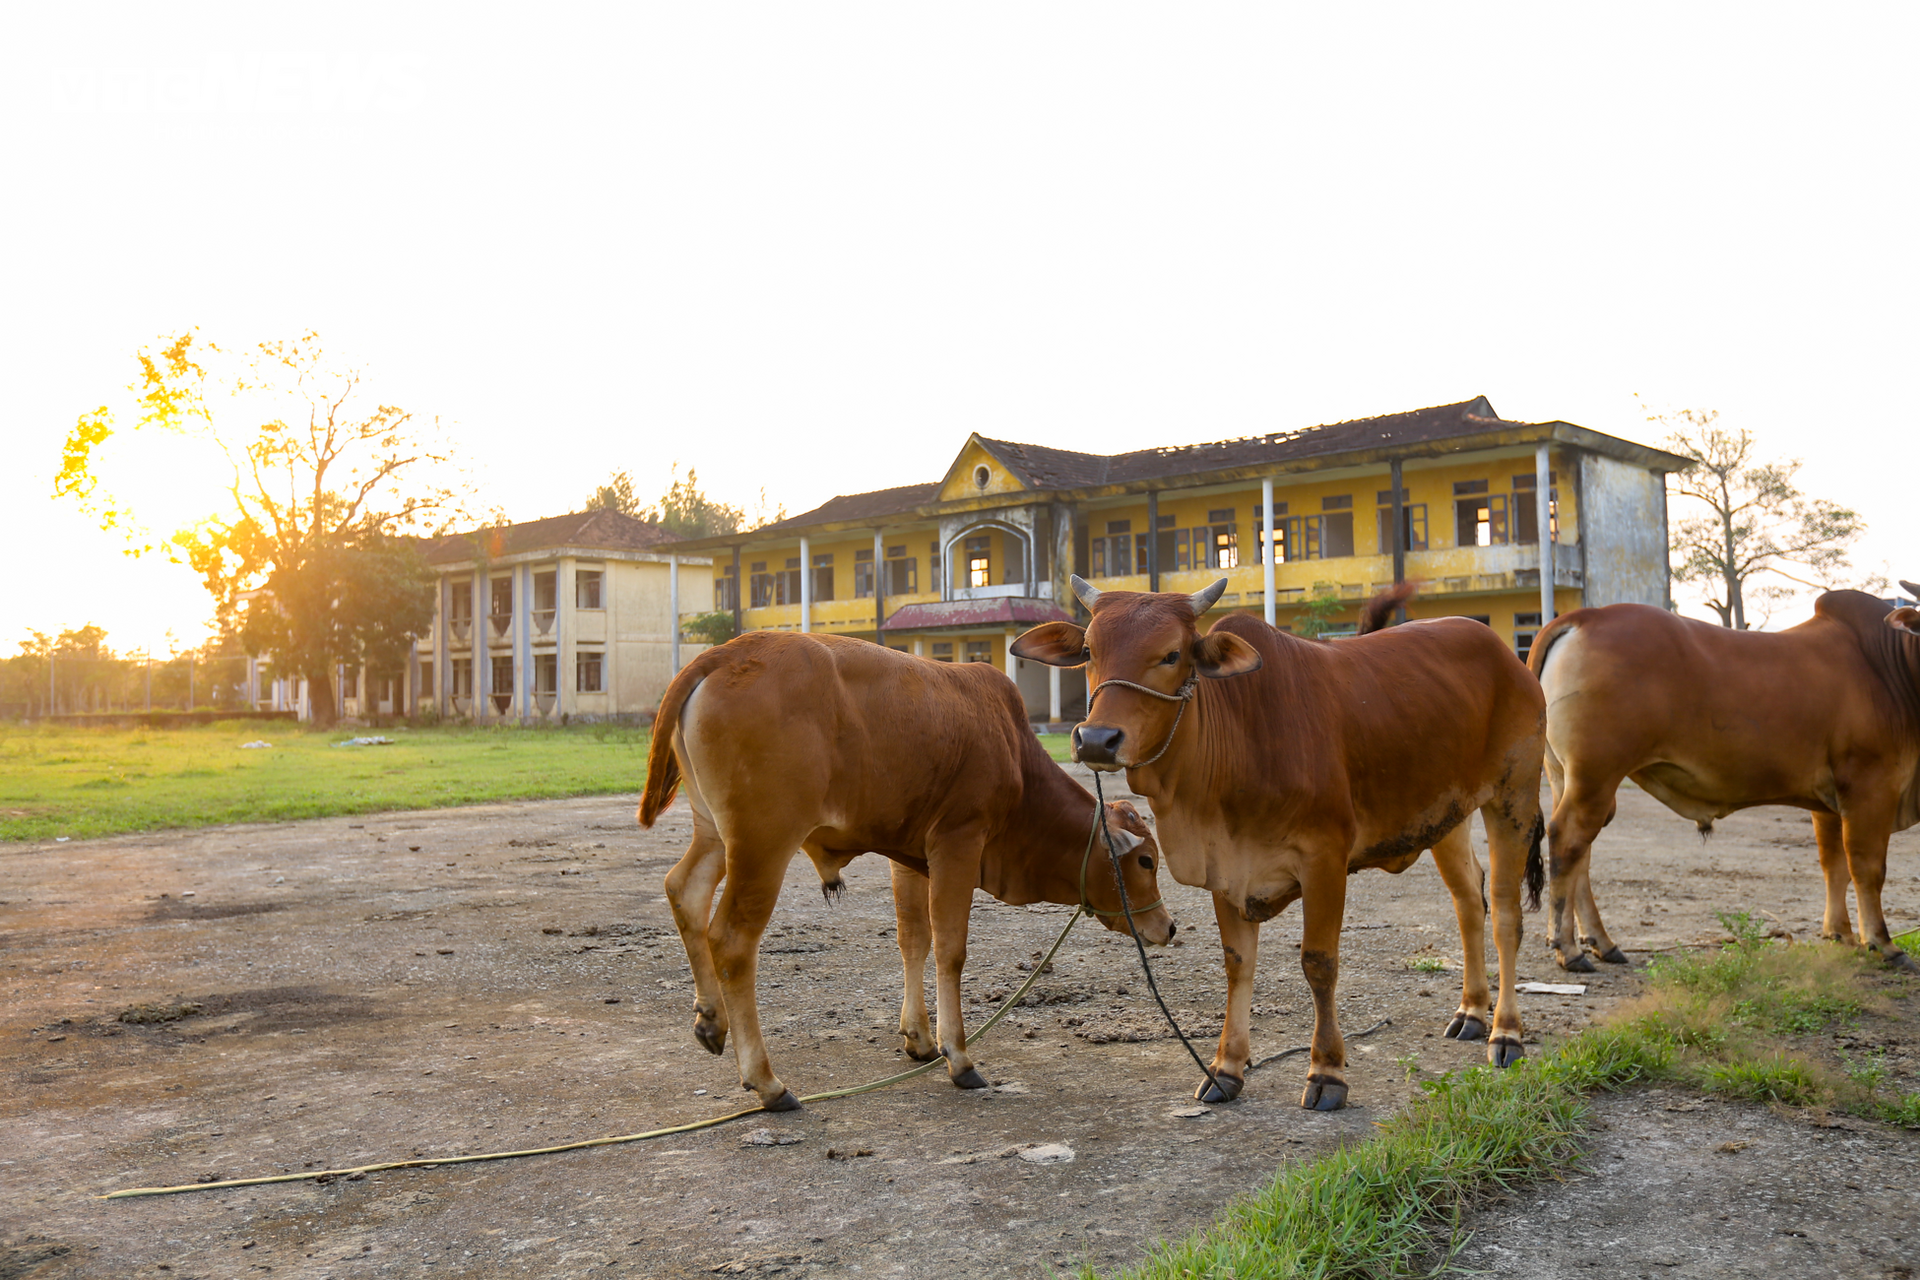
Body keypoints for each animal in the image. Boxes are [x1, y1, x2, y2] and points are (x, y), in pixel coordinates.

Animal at [641, 629, 1167, 1113]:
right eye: (1145, 860)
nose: (1168, 927)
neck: (1015, 756)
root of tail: (729, 651)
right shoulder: (958, 841)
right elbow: (951, 950)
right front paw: (959, 1056)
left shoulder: (911, 857)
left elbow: (914, 939)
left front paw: (919, 1038)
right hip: (763, 842)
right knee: (731, 941)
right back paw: (768, 1082)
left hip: (714, 831)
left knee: (684, 890)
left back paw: (711, 1018)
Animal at [1021, 579, 1543, 1113]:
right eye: (1089, 651)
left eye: (1171, 654)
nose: (1095, 740)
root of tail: (1501, 650)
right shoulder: (1225, 867)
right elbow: (1237, 965)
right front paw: (1225, 1068)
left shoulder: (1324, 860)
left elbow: (1319, 963)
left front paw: (1327, 1072)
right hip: (1446, 816)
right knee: (1468, 901)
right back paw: (1472, 1013)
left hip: (1514, 798)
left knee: (1505, 914)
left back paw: (1505, 1032)